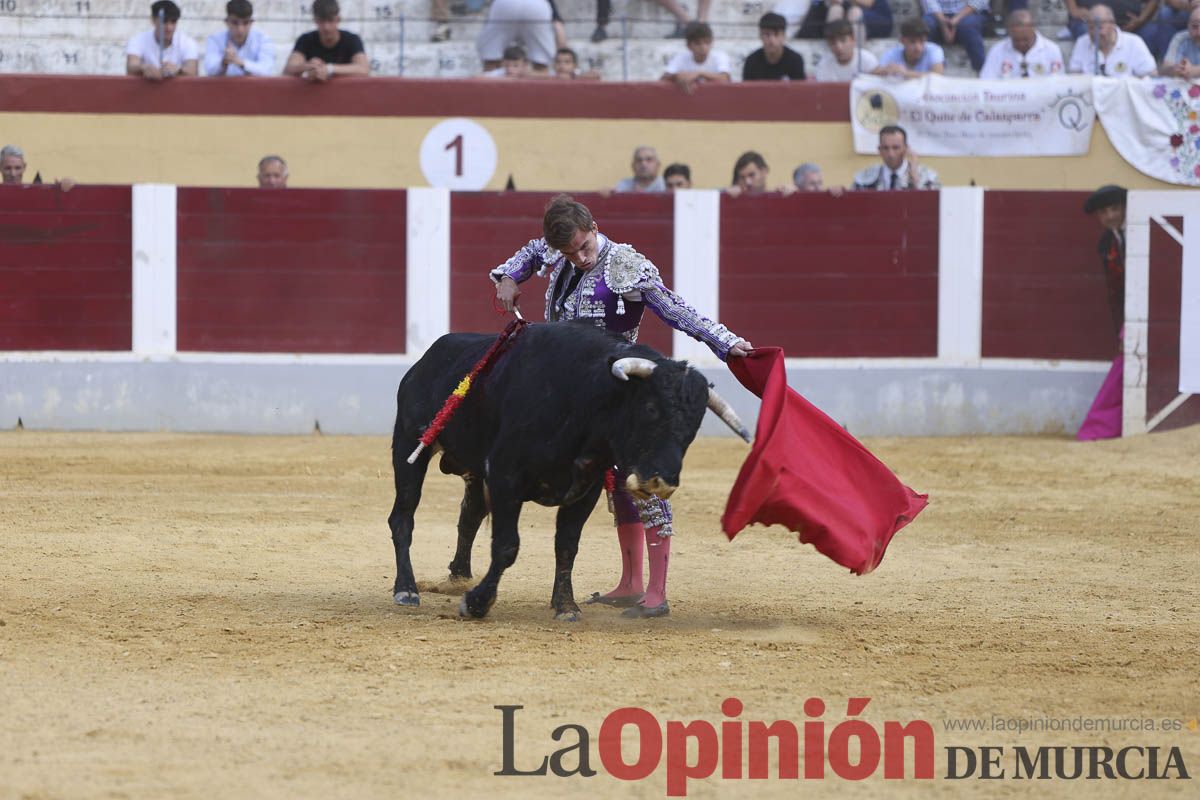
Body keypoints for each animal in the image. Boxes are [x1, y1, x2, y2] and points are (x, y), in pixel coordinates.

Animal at [388, 321, 744, 623]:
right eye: (650, 407)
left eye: (695, 425)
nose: (662, 480)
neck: (583, 398)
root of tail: (423, 362)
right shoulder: (505, 477)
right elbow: (507, 546)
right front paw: (477, 603)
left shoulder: (586, 488)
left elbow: (567, 547)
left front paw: (565, 606)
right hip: (408, 447)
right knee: (403, 516)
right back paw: (407, 590)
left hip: (473, 468)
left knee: (470, 515)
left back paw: (458, 576)